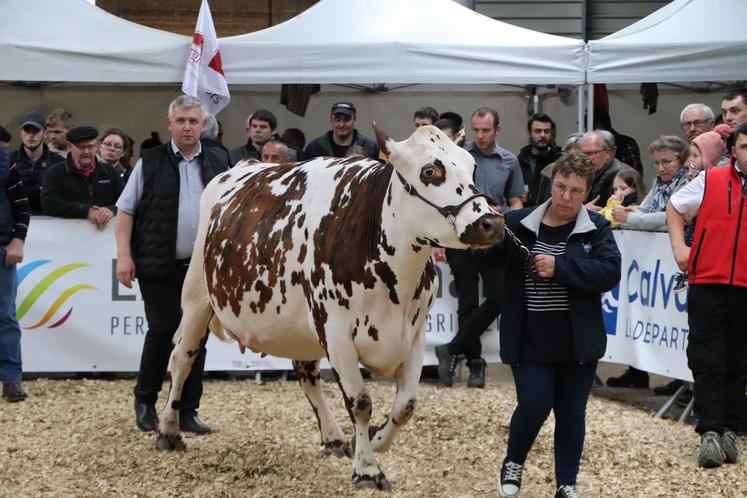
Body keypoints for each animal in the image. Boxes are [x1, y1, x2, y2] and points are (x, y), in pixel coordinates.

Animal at [159, 124, 508, 490]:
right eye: (430, 171)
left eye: (471, 166)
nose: (492, 223)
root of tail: (241, 166)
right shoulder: (337, 331)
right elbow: (361, 402)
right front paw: (367, 469)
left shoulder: (413, 333)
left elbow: (405, 404)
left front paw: (373, 441)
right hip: (197, 296)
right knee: (182, 358)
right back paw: (168, 431)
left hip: (300, 326)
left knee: (306, 374)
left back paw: (334, 437)